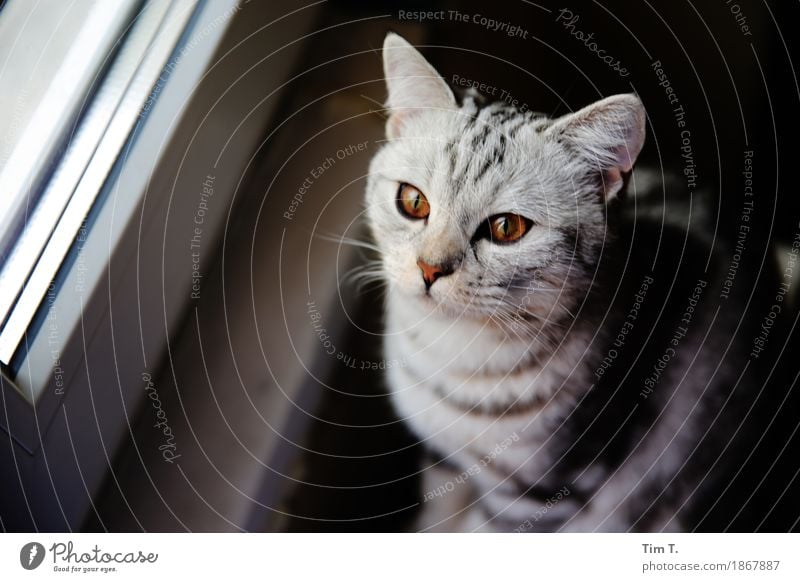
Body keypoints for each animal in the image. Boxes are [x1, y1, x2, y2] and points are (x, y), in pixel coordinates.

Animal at [366, 33, 752, 532]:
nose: (430, 268)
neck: (449, 354)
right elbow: (437, 512)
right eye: (413, 202)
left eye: (507, 228)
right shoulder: (442, 459)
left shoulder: (540, 493)